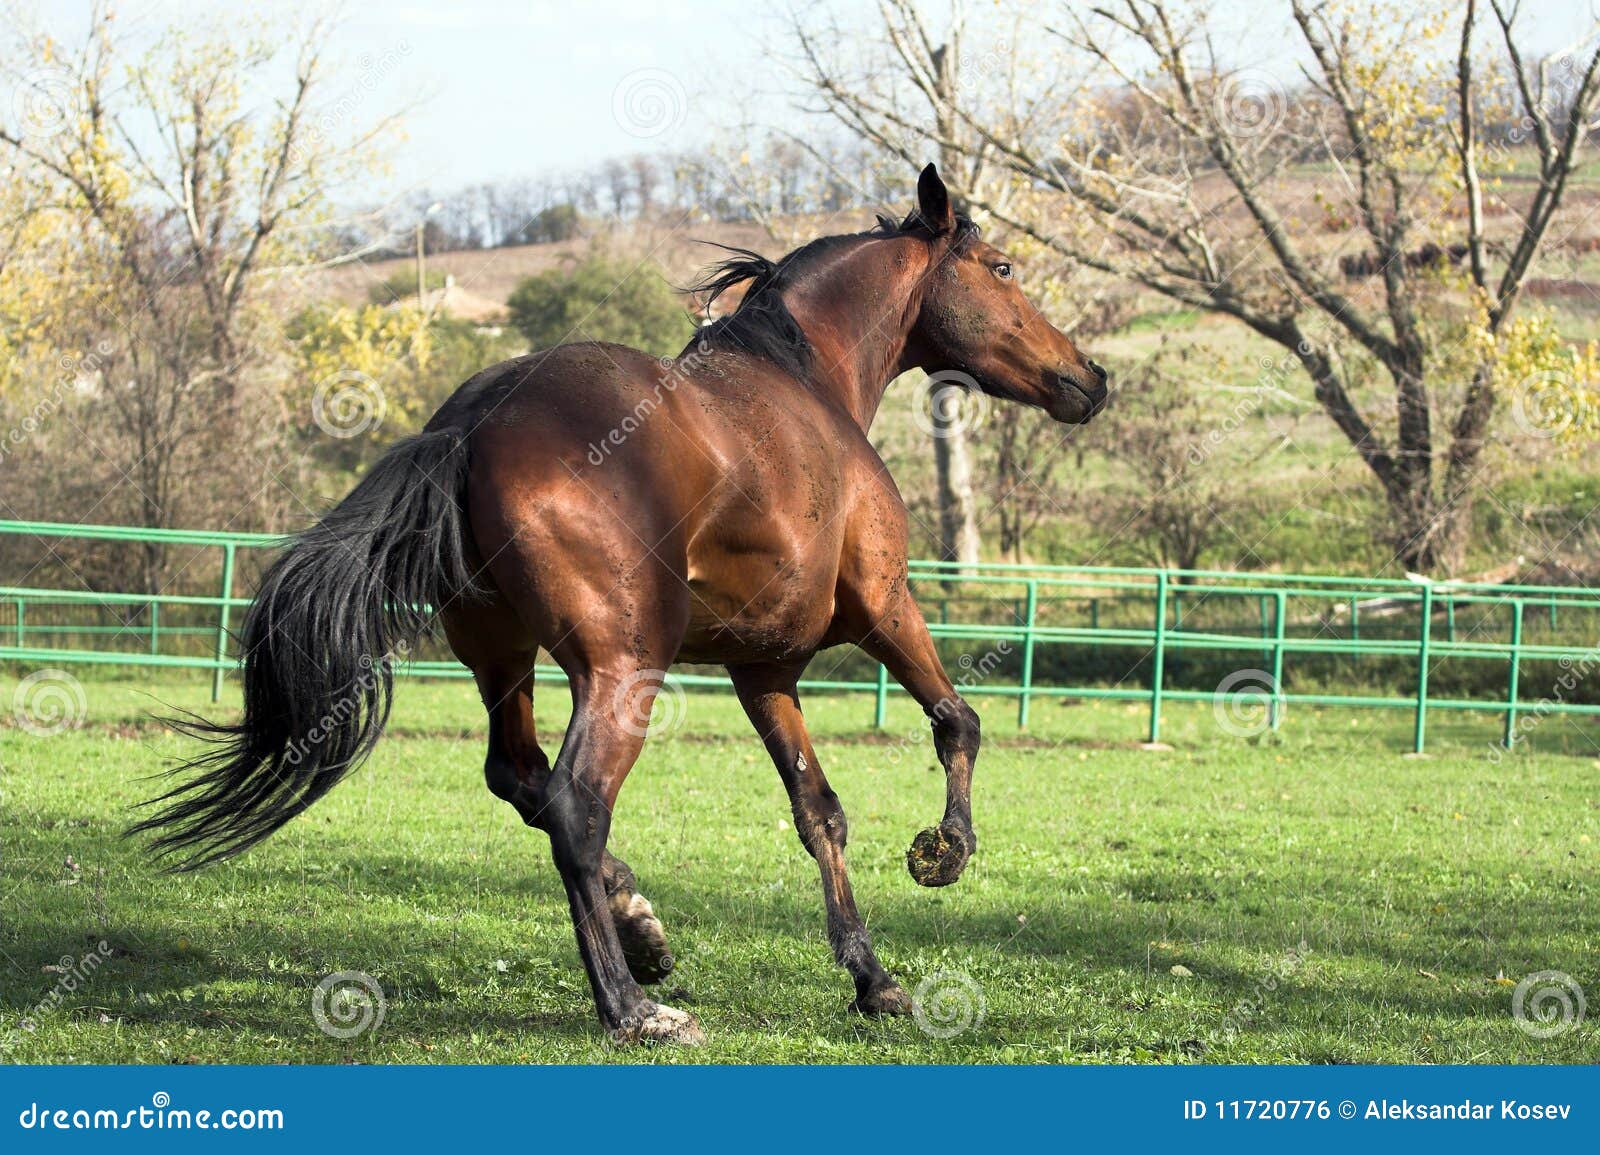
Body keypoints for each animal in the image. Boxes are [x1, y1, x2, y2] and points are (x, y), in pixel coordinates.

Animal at [132, 164, 1109, 1044]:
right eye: (1004, 268)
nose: (1091, 377)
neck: (806, 382)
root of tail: (471, 424)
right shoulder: (882, 605)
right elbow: (958, 721)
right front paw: (941, 853)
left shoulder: (764, 671)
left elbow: (818, 811)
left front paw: (873, 980)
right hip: (622, 671)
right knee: (573, 803)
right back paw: (634, 1007)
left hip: (504, 658)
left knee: (519, 776)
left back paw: (641, 928)